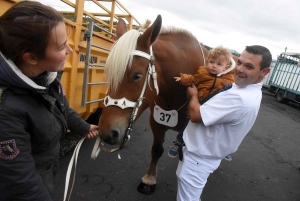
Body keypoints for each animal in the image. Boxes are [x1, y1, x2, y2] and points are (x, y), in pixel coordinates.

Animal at [98, 14, 209, 194]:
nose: (107, 133)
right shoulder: (156, 121)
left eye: (137, 76)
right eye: (108, 73)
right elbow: (156, 150)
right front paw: (149, 179)